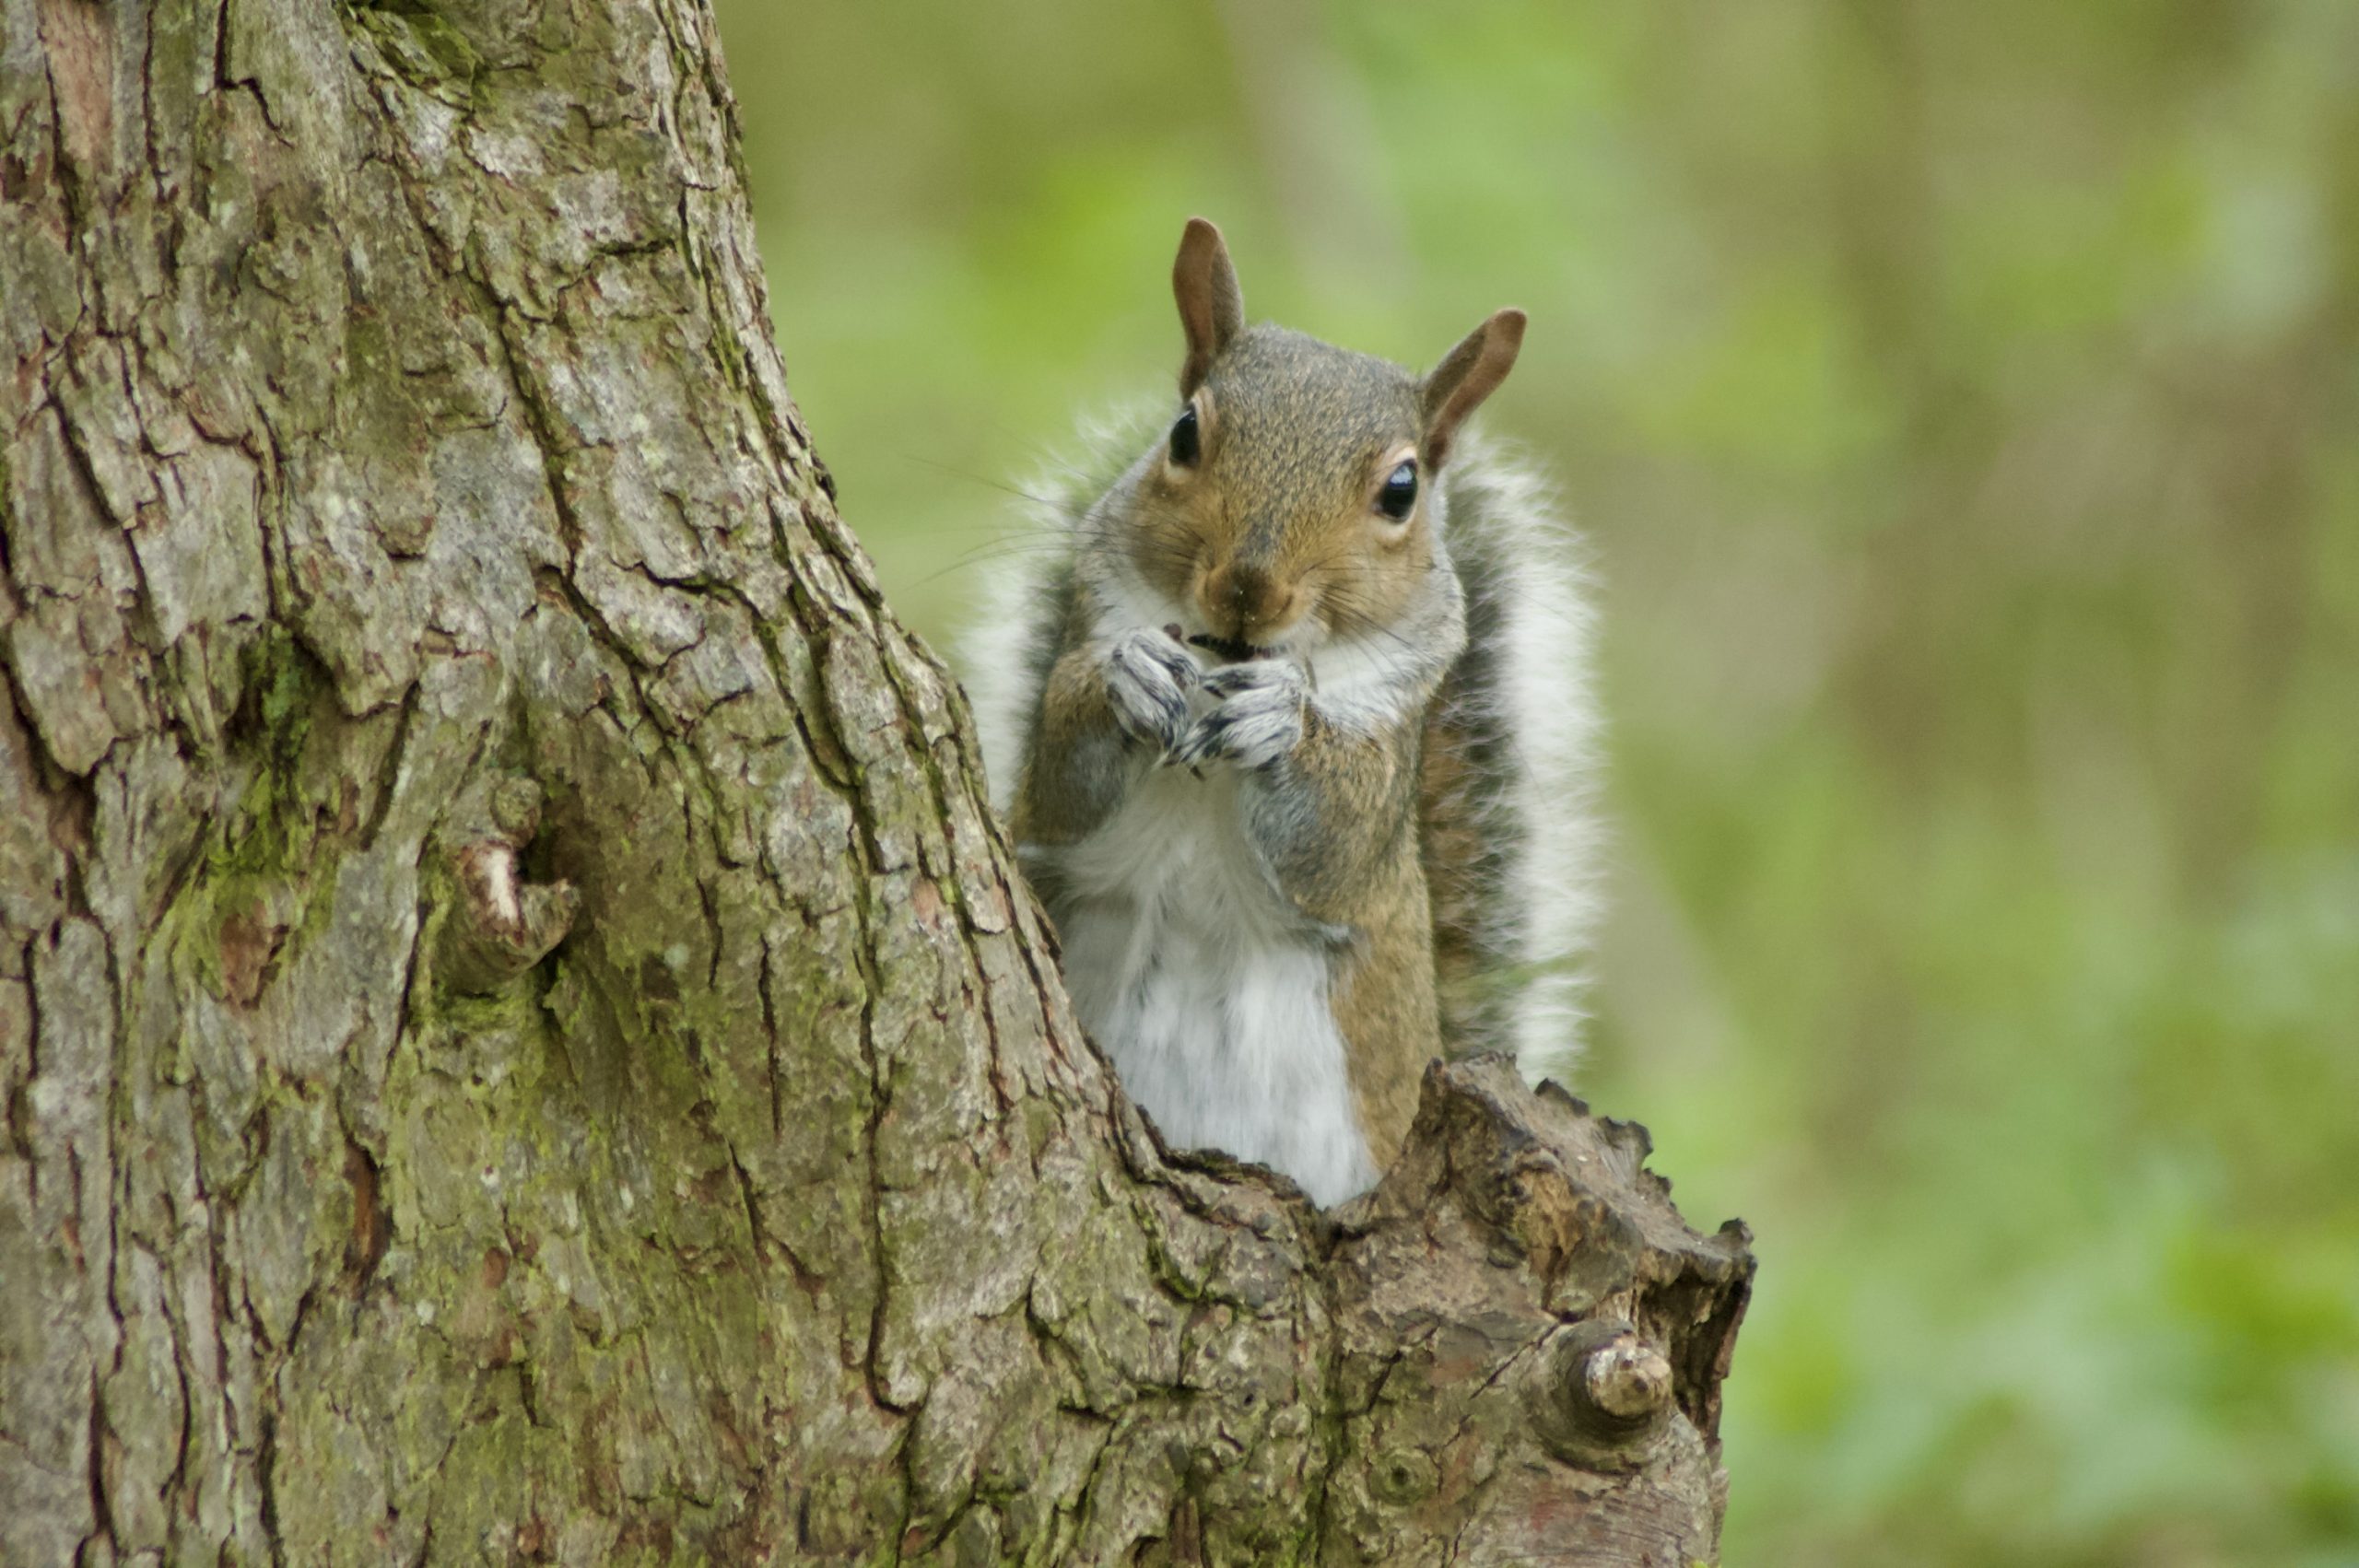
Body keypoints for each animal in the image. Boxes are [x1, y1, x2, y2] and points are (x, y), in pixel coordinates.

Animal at [966, 218, 1597, 1207]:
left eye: (1402, 491)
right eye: (1184, 433)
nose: (1248, 589)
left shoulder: (1385, 762)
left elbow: (1336, 835)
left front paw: (1282, 723)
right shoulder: (1063, 737)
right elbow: (1058, 782)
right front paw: (1128, 675)